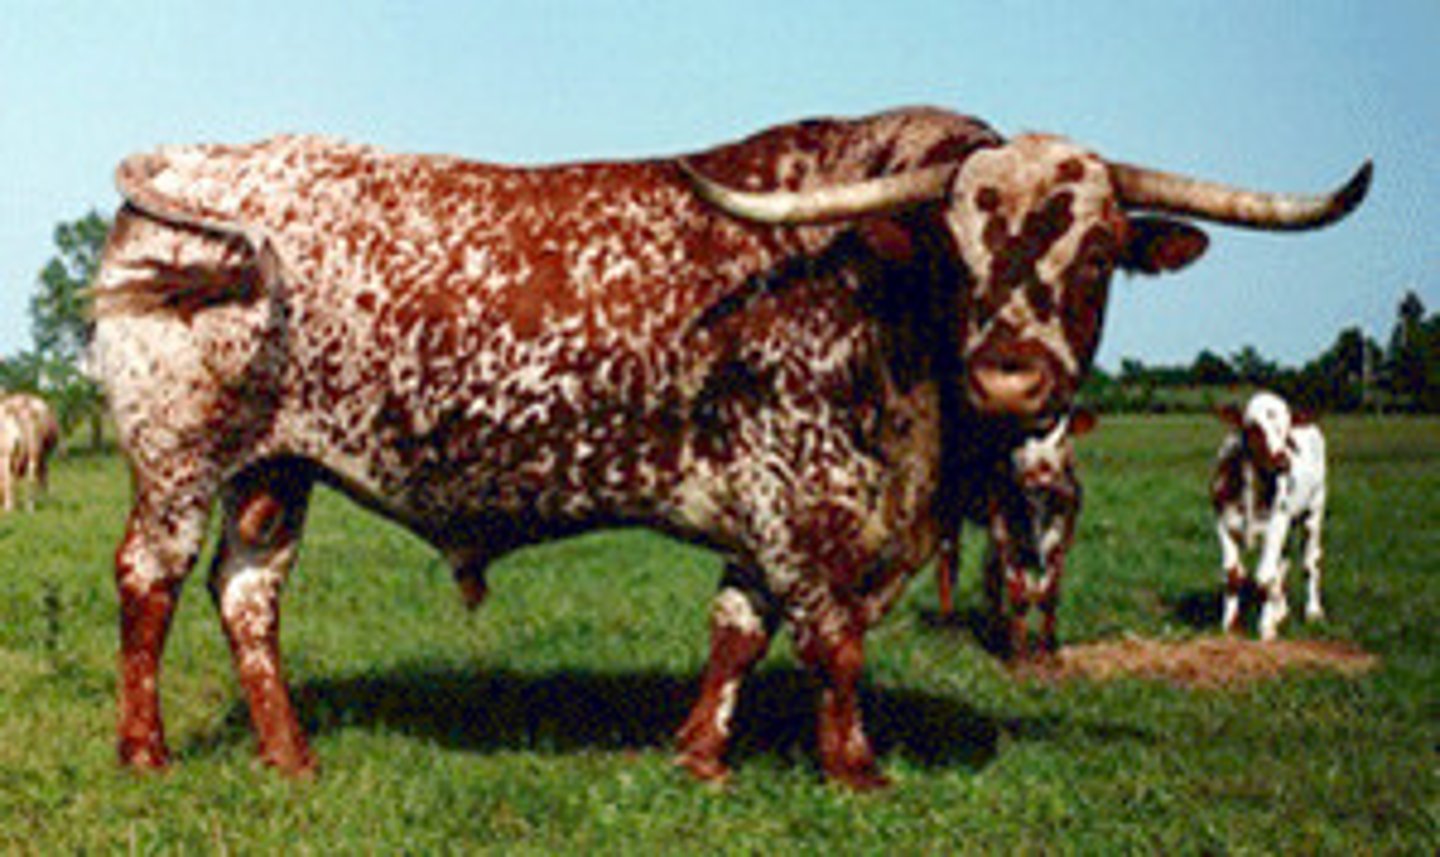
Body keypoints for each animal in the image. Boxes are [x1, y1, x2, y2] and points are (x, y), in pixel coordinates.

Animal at [934, 410, 1095, 660]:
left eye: (1063, 438)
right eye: (1017, 442)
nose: (1039, 474)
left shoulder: (1061, 537)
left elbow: (1048, 595)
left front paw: (1046, 652)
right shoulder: (1006, 535)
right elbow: (1020, 596)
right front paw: (1019, 656)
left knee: (989, 573)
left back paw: (996, 628)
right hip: (948, 512)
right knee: (947, 566)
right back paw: (949, 625)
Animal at [1212, 391, 1327, 641]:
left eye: (1287, 431)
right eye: (1253, 428)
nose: (1283, 462)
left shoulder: (1276, 525)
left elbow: (1264, 577)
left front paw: (1266, 629)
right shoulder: (1223, 524)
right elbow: (1232, 574)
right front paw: (1229, 626)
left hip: (1314, 510)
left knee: (1310, 563)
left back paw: (1313, 611)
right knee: (1282, 565)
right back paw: (1280, 609)